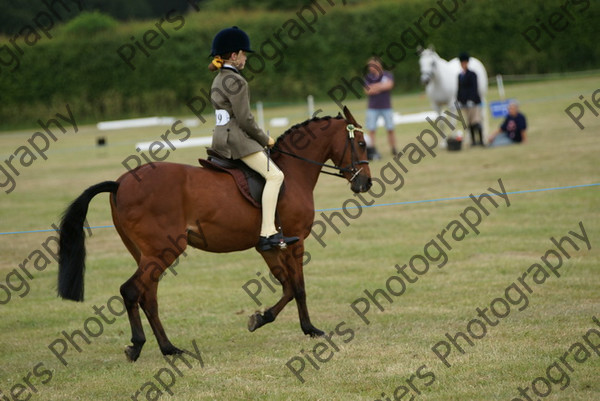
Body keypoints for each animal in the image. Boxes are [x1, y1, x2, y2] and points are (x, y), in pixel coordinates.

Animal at [58, 105, 372, 360]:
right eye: (360, 143)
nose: (365, 183)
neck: (292, 172)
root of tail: (120, 183)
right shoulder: (295, 242)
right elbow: (299, 287)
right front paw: (310, 329)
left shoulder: (268, 246)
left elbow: (286, 287)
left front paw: (260, 318)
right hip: (164, 250)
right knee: (132, 291)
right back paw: (137, 346)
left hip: (147, 254)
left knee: (148, 297)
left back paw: (169, 348)